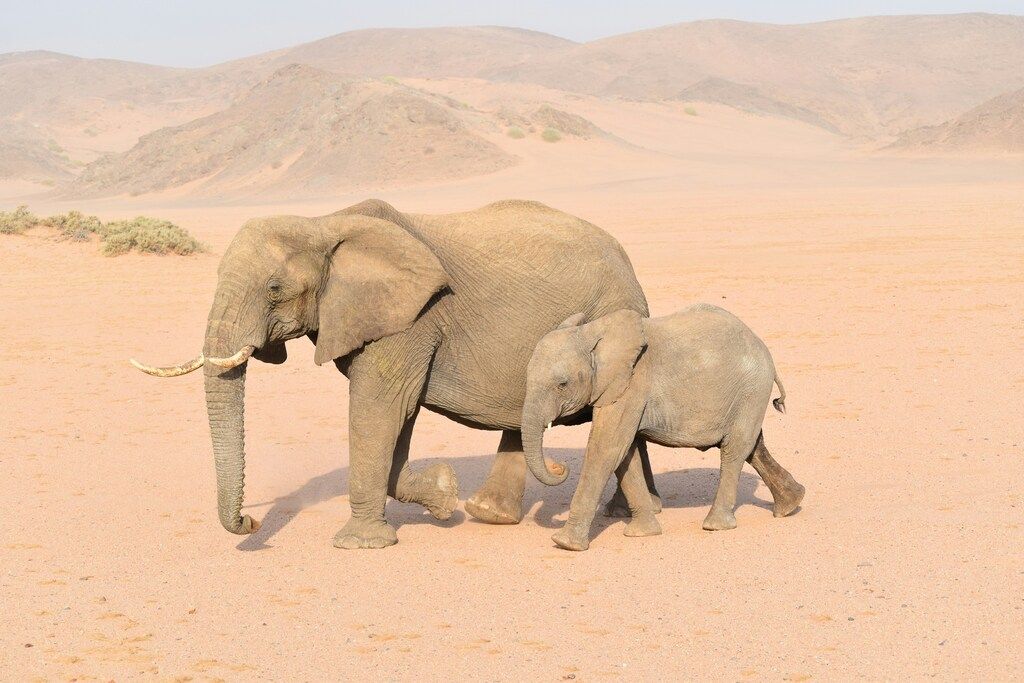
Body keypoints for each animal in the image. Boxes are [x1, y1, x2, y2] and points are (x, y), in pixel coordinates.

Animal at [131, 198, 665, 548]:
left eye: (274, 287)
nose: (251, 523)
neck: (324, 224)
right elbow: (396, 417)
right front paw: (444, 495)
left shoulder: (411, 319)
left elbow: (380, 407)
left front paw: (361, 544)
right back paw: (491, 515)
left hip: (614, 310)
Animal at [521, 304, 805, 551]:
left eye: (562, 384)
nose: (559, 467)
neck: (592, 332)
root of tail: (763, 348)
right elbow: (625, 454)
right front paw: (643, 533)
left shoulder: (632, 383)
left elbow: (607, 449)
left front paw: (565, 544)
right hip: (748, 395)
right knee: (753, 447)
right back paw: (790, 505)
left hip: (751, 389)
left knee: (734, 450)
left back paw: (715, 526)